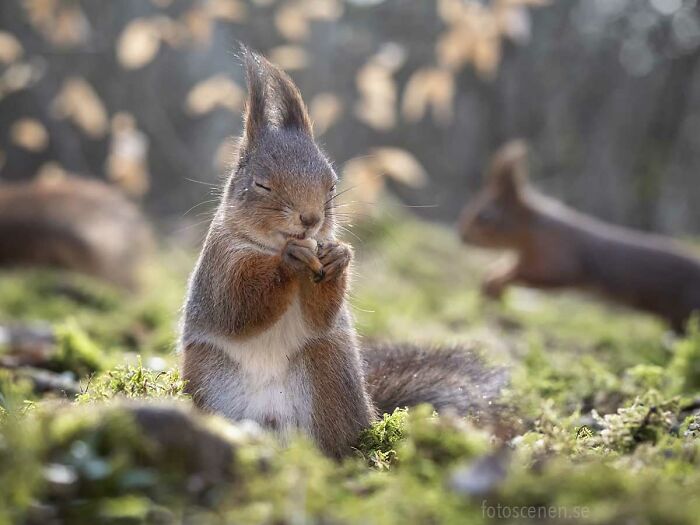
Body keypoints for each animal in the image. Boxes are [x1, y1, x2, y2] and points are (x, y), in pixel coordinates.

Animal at [180, 50, 506, 458]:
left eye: (332, 185)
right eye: (261, 184)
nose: (311, 219)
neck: (271, 245)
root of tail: (274, 429)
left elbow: (320, 314)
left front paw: (339, 258)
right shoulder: (221, 262)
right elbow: (238, 304)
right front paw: (287, 262)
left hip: (329, 371)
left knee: (335, 441)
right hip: (209, 377)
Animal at [459, 140, 700, 333]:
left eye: (485, 217)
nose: (462, 236)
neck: (533, 229)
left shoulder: (555, 257)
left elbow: (530, 274)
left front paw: (496, 280)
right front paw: (490, 281)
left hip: (686, 309)